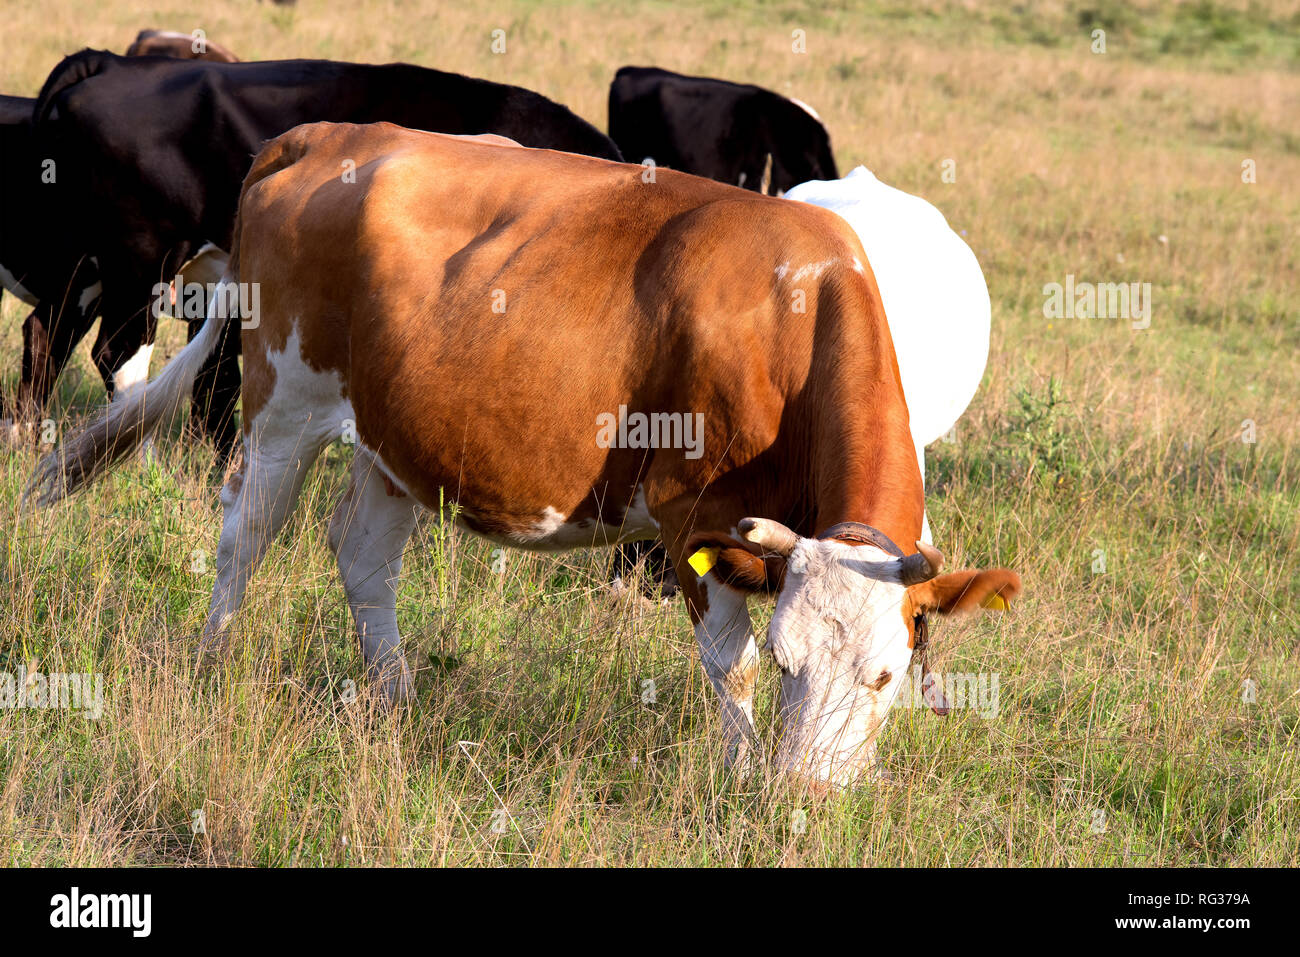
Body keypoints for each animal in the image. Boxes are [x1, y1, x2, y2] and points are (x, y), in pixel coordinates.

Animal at [30, 121, 1019, 785]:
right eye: (790, 664)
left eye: (886, 673)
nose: (805, 791)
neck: (795, 315)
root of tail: (330, 133)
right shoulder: (689, 515)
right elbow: (725, 661)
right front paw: (740, 777)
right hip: (286, 398)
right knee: (246, 530)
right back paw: (214, 659)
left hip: (395, 436)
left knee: (361, 554)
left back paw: (393, 698)